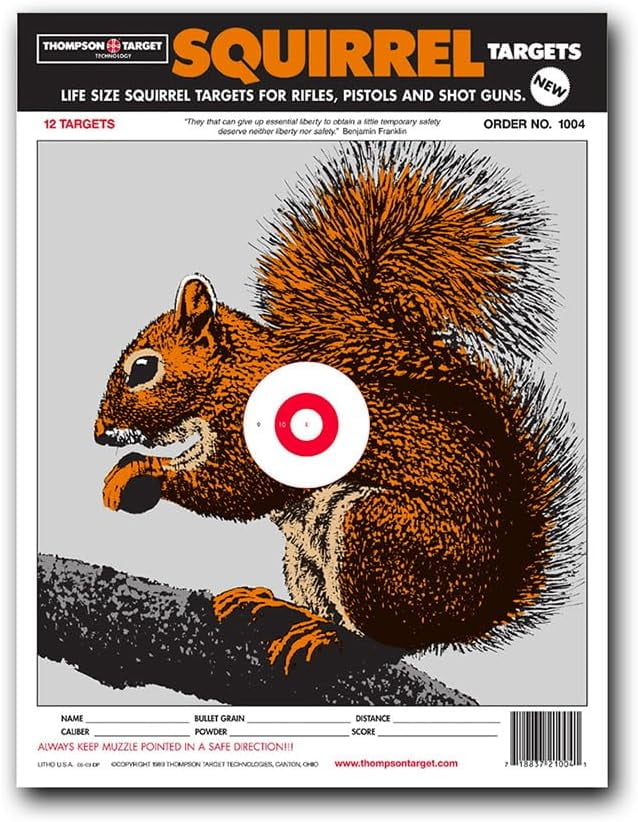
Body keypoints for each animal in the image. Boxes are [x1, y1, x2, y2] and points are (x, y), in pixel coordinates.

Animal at [94, 142, 580, 675]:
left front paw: (140, 470)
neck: (237, 379)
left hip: (376, 537)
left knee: (384, 639)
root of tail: (466, 615)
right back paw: (277, 607)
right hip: (306, 559)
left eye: (143, 368)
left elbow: (235, 489)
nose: (99, 432)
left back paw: (325, 633)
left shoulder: (261, 444)